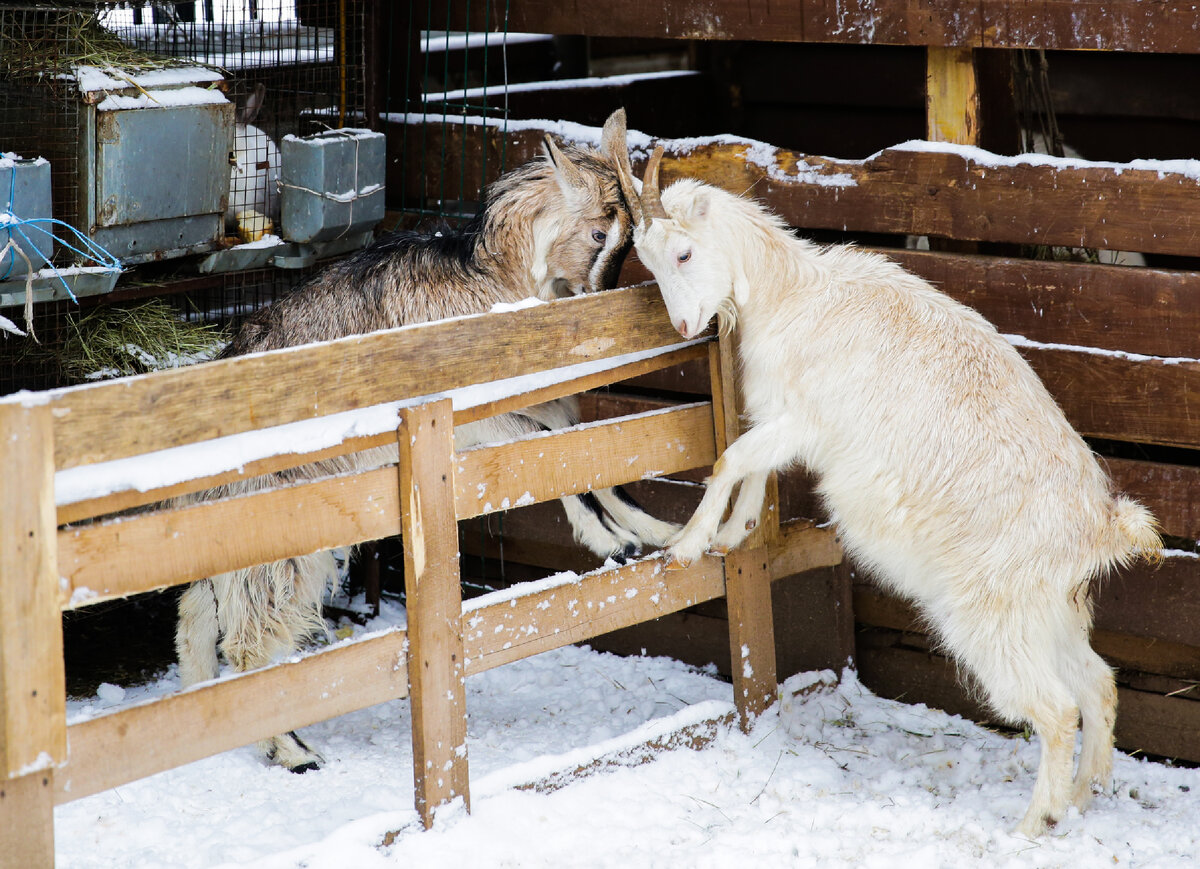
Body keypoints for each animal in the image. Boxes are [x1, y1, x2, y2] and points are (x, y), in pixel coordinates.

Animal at [614, 147, 1156, 835]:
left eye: (683, 254)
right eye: (649, 262)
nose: (684, 325)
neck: (792, 293)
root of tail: (1101, 526)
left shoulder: (805, 420)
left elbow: (733, 455)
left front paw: (687, 543)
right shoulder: (784, 417)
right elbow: (754, 464)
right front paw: (735, 533)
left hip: (990, 614)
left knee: (1056, 711)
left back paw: (1031, 825)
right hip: (1048, 610)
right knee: (1098, 685)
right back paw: (1083, 797)